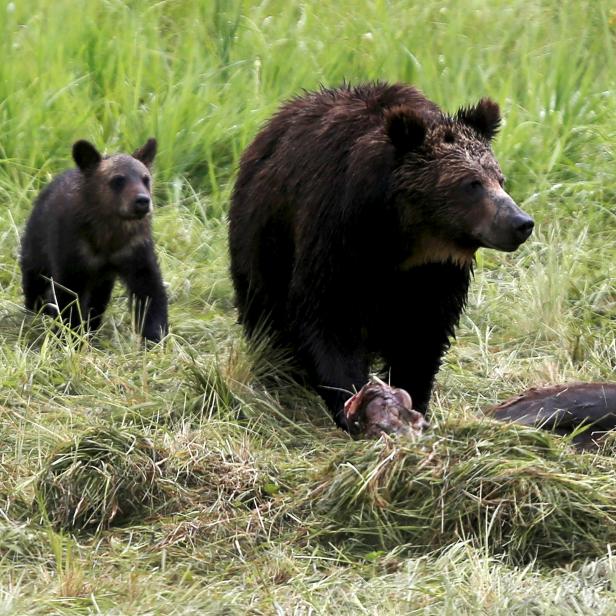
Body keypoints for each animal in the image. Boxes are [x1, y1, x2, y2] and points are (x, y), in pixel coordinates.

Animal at [20, 137, 168, 344]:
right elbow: (69, 295)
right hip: (36, 243)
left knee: (99, 298)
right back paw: (36, 312)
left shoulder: (134, 250)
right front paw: (69, 336)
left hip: (102, 278)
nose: (143, 201)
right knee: (34, 278)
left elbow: (150, 290)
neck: (108, 236)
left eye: (146, 179)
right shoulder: (73, 251)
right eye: (118, 179)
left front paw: (155, 337)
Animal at [231, 83, 536, 428]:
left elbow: (422, 333)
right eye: (471, 183)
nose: (520, 223)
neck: (401, 237)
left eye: (499, 178)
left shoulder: (436, 272)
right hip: (263, 241)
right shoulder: (336, 237)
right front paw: (353, 402)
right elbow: (329, 317)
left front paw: (411, 398)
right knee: (266, 314)